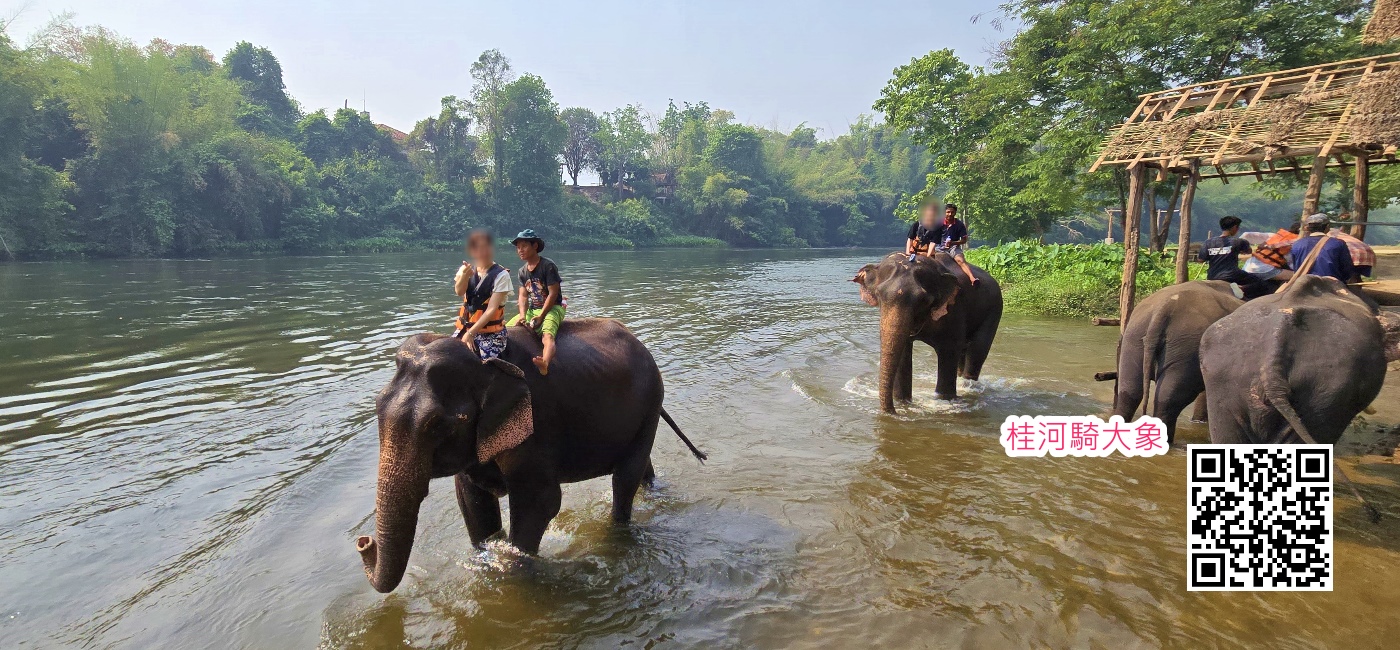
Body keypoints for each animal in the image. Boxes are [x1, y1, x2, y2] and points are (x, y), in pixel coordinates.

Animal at [355, 319, 705, 593]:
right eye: (376, 406)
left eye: (437, 425)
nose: (363, 542)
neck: (485, 363)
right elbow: (471, 499)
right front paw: (487, 560)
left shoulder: (537, 426)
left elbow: (540, 502)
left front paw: (513, 577)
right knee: (638, 467)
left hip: (650, 402)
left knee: (625, 478)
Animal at [851, 250, 1008, 414]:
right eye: (879, 295)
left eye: (923, 300)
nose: (892, 412)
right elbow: (903, 352)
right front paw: (903, 402)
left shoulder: (955, 309)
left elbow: (949, 351)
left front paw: (944, 401)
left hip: (994, 309)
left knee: (978, 349)